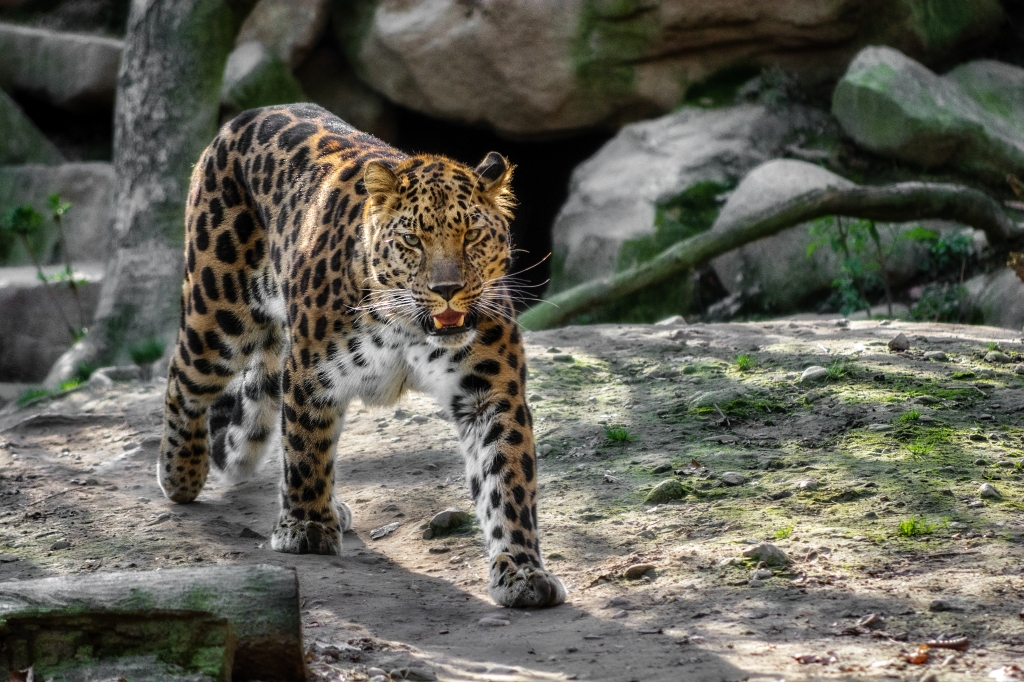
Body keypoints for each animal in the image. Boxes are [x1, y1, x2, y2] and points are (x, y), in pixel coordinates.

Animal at [156, 103, 566, 608]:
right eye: (413, 240)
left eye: (471, 235)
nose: (447, 290)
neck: (409, 327)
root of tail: (245, 116)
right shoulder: (311, 372)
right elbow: (305, 447)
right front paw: (306, 528)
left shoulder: (490, 393)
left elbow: (506, 480)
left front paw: (522, 571)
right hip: (218, 314)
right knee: (182, 378)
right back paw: (180, 474)